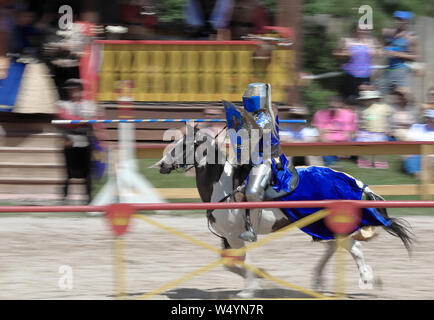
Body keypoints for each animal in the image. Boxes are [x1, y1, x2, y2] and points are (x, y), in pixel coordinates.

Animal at [155, 127, 414, 298]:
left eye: (184, 145)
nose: (161, 165)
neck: (222, 184)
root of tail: (352, 180)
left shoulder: (235, 236)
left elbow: (241, 261)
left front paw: (250, 289)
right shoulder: (226, 238)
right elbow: (229, 263)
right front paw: (260, 277)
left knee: (355, 248)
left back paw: (366, 279)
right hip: (318, 224)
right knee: (334, 246)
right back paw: (319, 281)